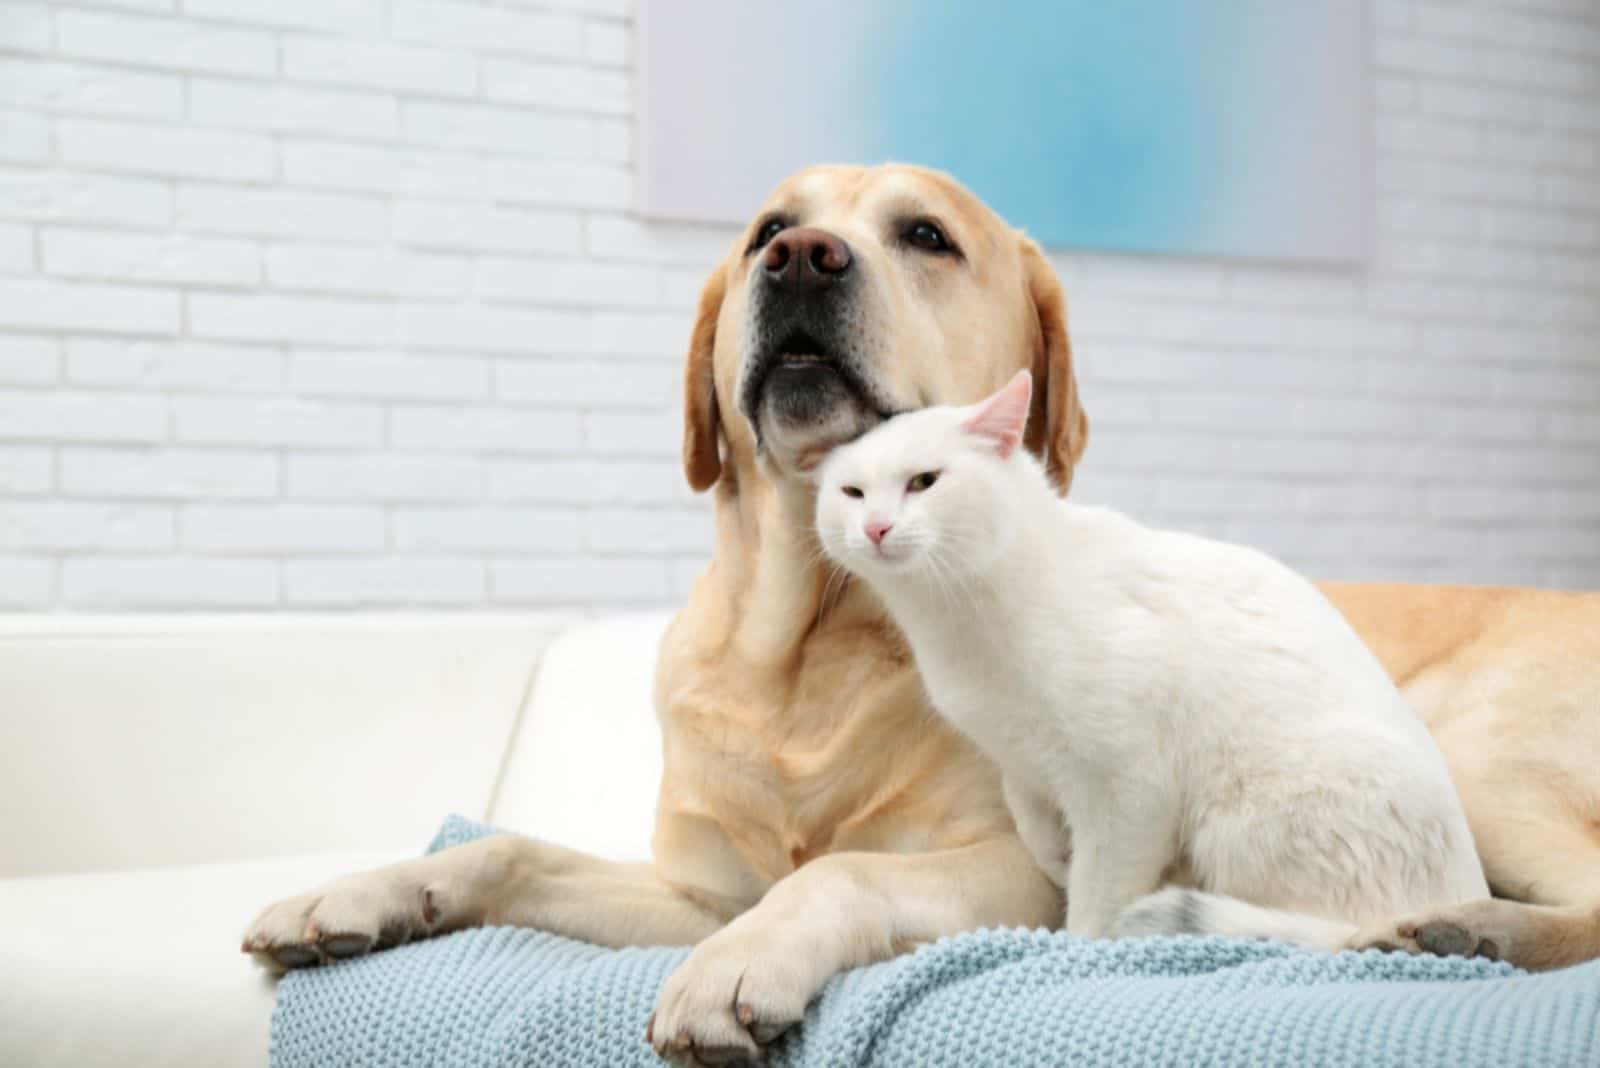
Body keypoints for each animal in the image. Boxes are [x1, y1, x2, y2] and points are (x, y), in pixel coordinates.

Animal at [819, 370, 1491, 946]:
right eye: (852, 492)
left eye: (924, 482)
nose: (876, 527)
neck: (957, 620)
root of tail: (1465, 895)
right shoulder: (1020, 761)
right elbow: (1032, 825)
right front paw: (1056, 857)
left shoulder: (1129, 787)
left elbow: (1098, 893)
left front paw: (1077, 946)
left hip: (1239, 824)